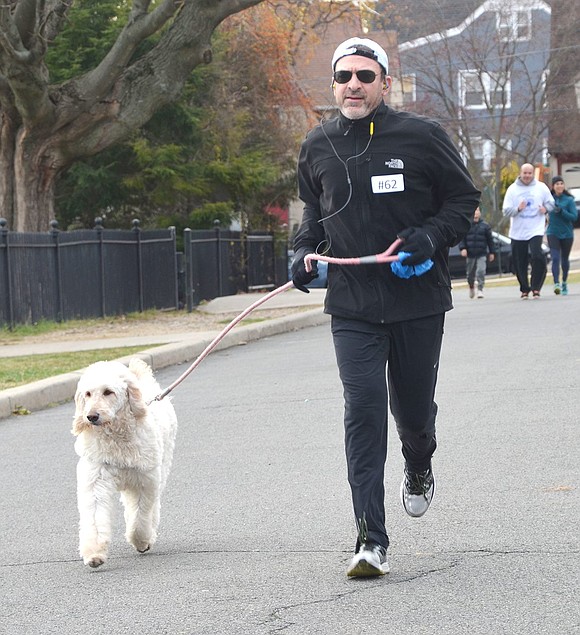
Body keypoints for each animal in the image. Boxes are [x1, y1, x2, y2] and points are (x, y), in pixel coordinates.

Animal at [72, 358, 177, 572]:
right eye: (87, 393)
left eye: (108, 392)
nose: (91, 416)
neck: (116, 437)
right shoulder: (96, 480)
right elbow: (95, 517)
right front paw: (94, 553)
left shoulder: (144, 481)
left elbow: (140, 516)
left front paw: (141, 541)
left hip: (160, 469)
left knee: (152, 507)